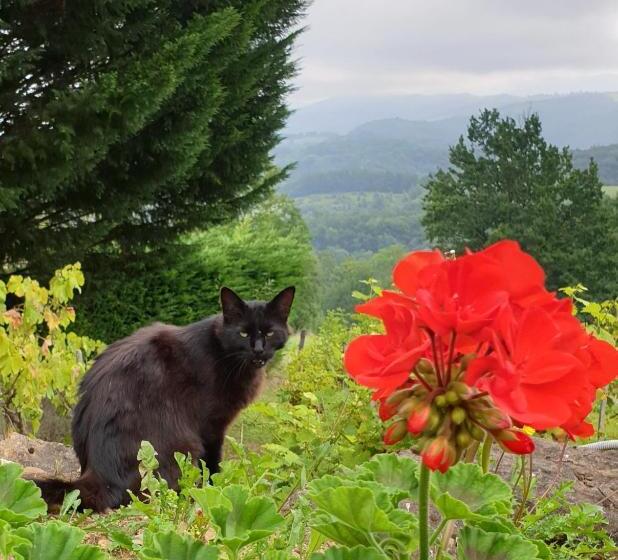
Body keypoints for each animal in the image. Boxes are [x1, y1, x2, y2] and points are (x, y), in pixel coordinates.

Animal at [33, 286, 294, 510]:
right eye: (243, 333)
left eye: (270, 332)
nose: (258, 350)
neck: (225, 354)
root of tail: (98, 474)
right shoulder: (211, 427)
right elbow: (212, 463)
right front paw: (215, 490)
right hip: (180, 447)